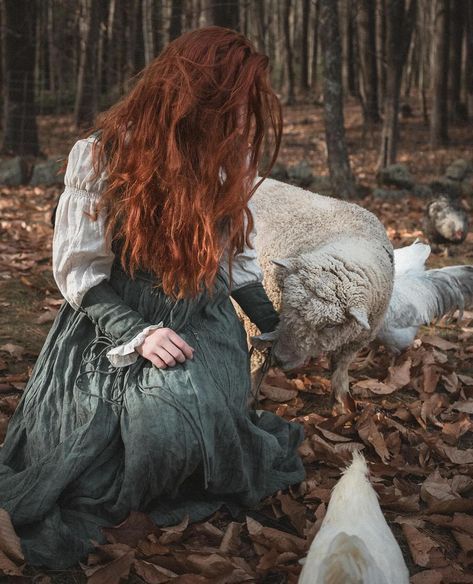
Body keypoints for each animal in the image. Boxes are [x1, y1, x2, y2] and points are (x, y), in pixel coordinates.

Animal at [245, 178, 392, 410]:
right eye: (285, 306)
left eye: (330, 325)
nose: (280, 358)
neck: (348, 240)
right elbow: (255, 366)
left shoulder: (357, 340)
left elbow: (340, 369)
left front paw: (342, 403)